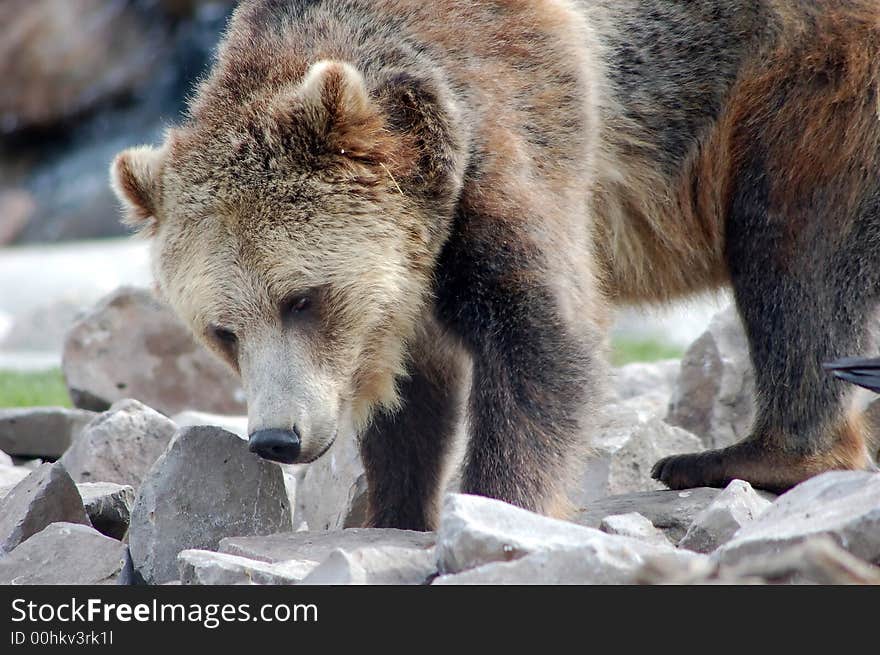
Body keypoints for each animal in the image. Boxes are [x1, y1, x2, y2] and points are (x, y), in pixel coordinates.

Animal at [110, 0, 880, 532]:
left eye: (301, 298)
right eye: (222, 331)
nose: (277, 437)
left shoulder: (517, 117)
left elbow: (542, 332)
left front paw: (499, 504)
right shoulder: (408, 282)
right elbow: (416, 399)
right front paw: (395, 509)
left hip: (806, 83)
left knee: (792, 250)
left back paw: (742, 454)